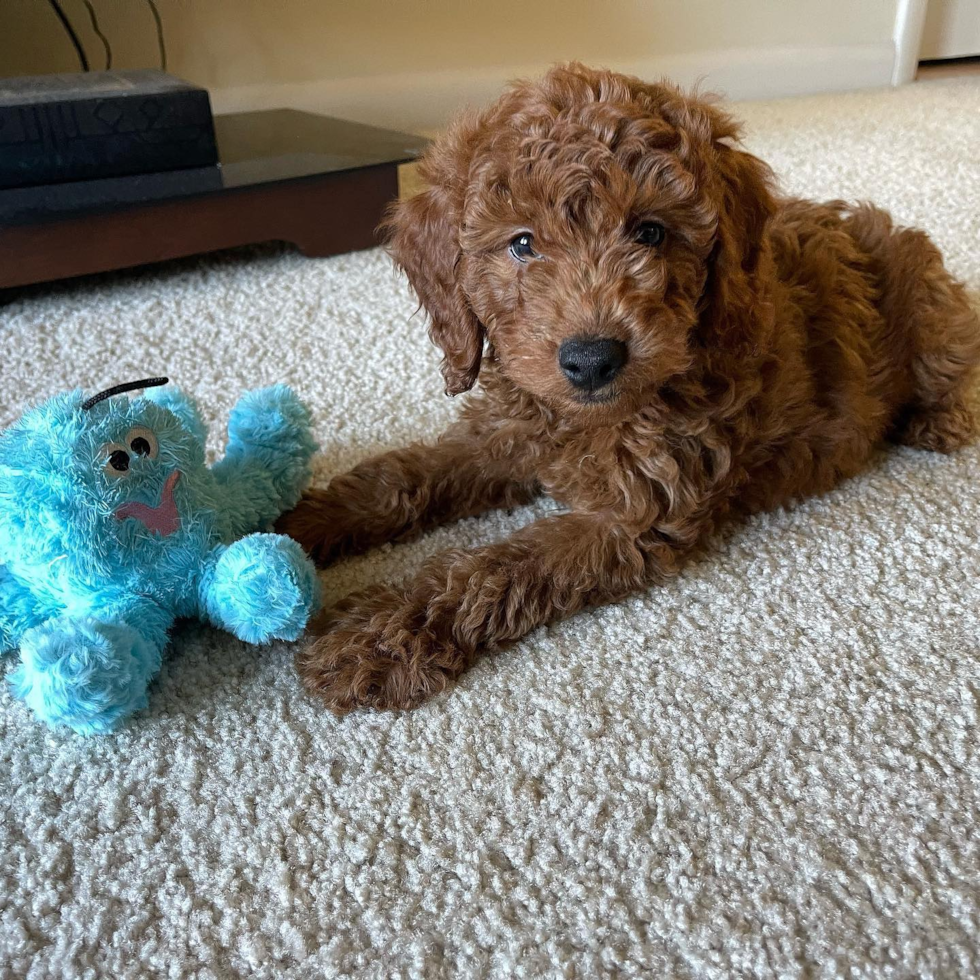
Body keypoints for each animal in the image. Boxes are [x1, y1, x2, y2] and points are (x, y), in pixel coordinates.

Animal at [278, 67, 980, 712]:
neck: (588, 419)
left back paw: (940, 419)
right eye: (522, 244)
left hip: (927, 308)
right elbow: (403, 476)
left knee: (954, 357)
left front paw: (377, 635)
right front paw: (300, 523)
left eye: (649, 232)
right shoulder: (506, 432)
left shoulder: (637, 513)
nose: (592, 359)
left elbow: (502, 566)